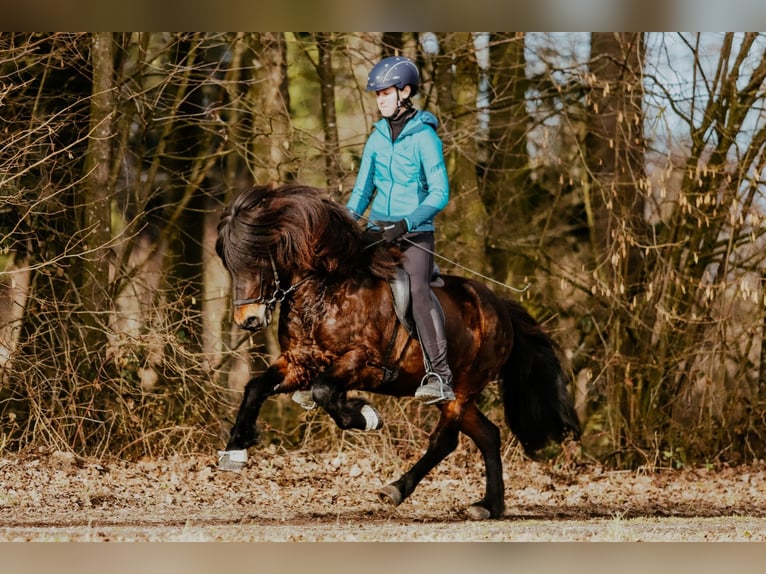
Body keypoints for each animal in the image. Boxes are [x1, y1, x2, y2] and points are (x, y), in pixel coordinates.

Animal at [215, 182, 580, 520]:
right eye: (230, 264)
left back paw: (397, 489)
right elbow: (255, 388)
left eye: (257, 258)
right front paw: (235, 450)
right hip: (455, 394)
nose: (248, 320)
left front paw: (365, 415)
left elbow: (324, 391)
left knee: (445, 440)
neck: (325, 290)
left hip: (463, 388)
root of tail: (500, 308)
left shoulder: (363, 363)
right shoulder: (299, 361)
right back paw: (489, 505)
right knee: (488, 435)